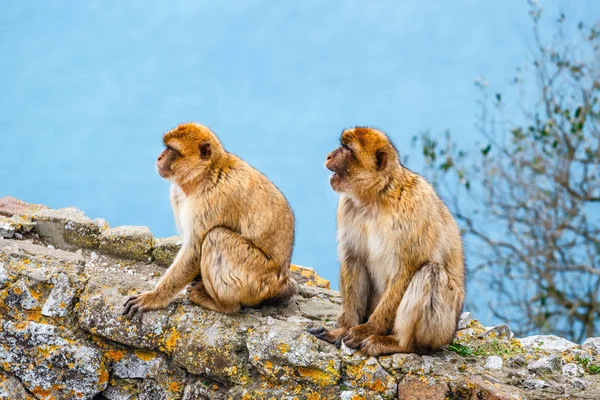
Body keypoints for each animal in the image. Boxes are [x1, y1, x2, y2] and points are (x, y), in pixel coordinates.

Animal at [123, 123, 298, 318]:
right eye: (166, 147)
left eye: (172, 150)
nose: (159, 157)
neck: (204, 175)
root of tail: (281, 282)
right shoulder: (177, 194)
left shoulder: (213, 199)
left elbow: (194, 250)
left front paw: (154, 298)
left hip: (257, 281)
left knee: (217, 236)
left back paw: (223, 305)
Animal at [310, 126, 464, 354]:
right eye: (342, 145)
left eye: (347, 149)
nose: (329, 155)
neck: (376, 197)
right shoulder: (347, 208)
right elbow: (354, 260)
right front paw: (346, 327)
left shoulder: (414, 209)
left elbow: (405, 271)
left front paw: (366, 330)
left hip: (442, 331)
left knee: (431, 272)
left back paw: (398, 343)